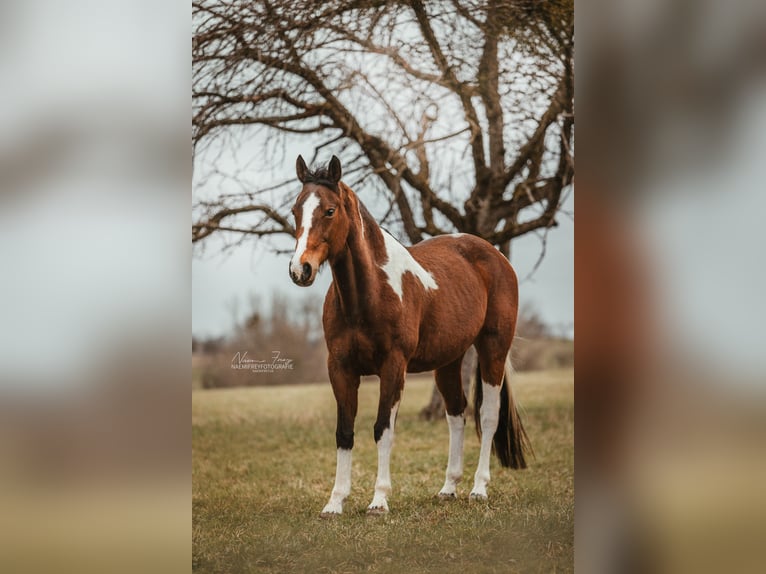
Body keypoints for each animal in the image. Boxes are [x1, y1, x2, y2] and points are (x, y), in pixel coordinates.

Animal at [290, 154, 536, 516]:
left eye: (330, 211)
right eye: (296, 209)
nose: (299, 269)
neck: (368, 295)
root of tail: (494, 255)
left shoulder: (393, 367)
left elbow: (383, 429)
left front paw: (379, 500)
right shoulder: (340, 368)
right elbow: (344, 432)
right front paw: (335, 502)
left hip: (493, 348)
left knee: (487, 415)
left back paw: (478, 489)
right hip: (448, 362)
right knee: (456, 415)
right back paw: (449, 487)